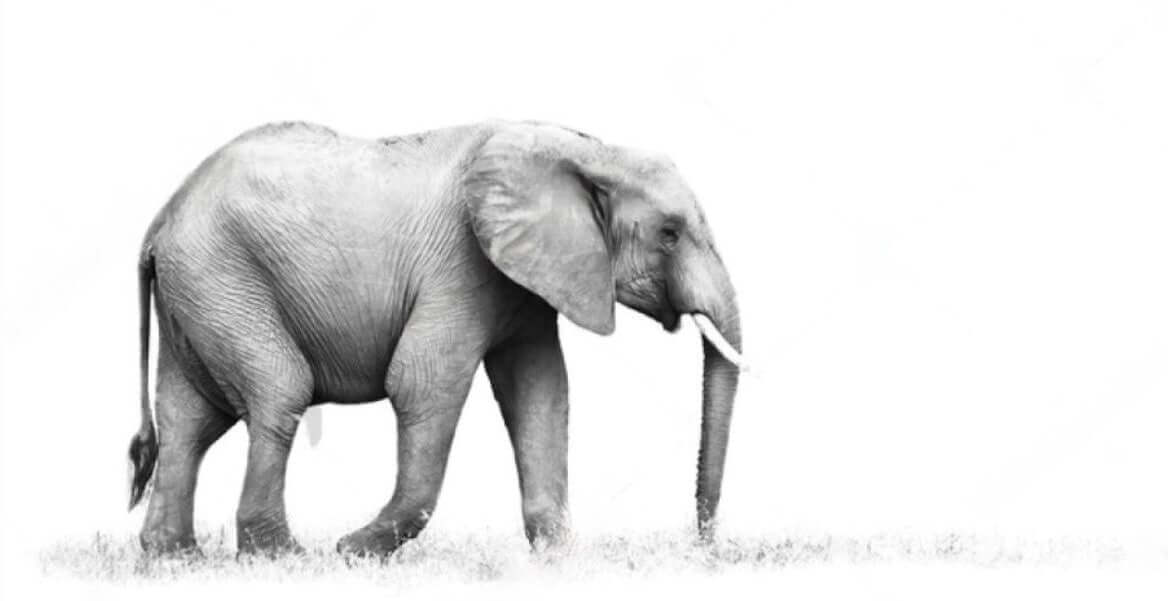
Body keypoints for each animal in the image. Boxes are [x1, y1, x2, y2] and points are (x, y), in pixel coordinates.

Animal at [126, 120, 745, 557]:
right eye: (670, 234)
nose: (702, 543)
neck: (583, 148)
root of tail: (159, 222)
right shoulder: (460, 264)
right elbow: (423, 382)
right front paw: (353, 552)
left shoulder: (524, 283)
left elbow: (541, 392)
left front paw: (560, 559)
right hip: (223, 278)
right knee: (279, 392)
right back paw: (283, 556)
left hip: (199, 294)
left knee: (188, 420)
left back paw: (174, 557)